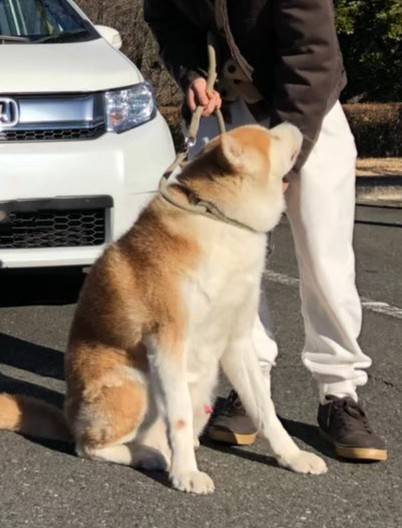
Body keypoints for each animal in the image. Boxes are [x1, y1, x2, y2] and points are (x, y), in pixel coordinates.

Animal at [0, 123, 327, 494]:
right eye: (271, 137)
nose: (292, 125)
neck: (222, 224)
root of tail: (68, 417)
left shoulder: (238, 341)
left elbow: (265, 409)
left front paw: (293, 456)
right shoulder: (168, 341)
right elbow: (180, 418)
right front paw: (186, 473)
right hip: (133, 387)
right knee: (89, 447)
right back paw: (149, 455)